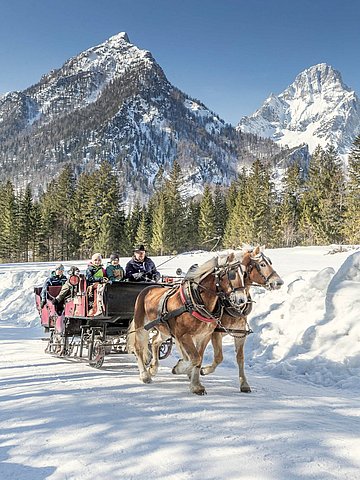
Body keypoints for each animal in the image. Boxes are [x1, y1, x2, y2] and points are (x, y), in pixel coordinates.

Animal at [126, 251, 248, 394]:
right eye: (231, 274)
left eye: (244, 274)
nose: (242, 300)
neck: (196, 301)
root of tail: (146, 289)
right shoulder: (184, 336)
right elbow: (195, 358)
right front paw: (182, 370)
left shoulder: (204, 336)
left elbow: (198, 359)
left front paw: (195, 384)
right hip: (142, 327)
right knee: (138, 348)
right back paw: (145, 375)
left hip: (165, 329)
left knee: (156, 341)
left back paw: (153, 368)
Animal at [200, 246, 284, 392]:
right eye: (262, 264)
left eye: (270, 262)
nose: (279, 282)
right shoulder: (215, 333)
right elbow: (219, 357)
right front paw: (204, 370)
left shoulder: (240, 333)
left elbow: (240, 358)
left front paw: (244, 383)